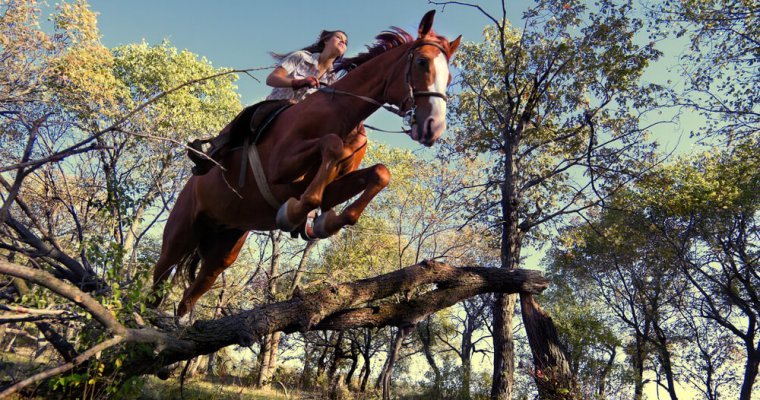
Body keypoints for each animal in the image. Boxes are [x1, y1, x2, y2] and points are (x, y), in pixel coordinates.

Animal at [151, 10, 460, 316]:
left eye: (449, 77)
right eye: (422, 62)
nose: (433, 127)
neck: (342, 112)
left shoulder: (332, 185)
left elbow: (379, 174)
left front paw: (325, 222)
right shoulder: (279, 167)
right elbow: (330, 147)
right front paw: (295, 214)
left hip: (224, 246)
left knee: (192, 293)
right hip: (179, 235)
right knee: (157, 281)